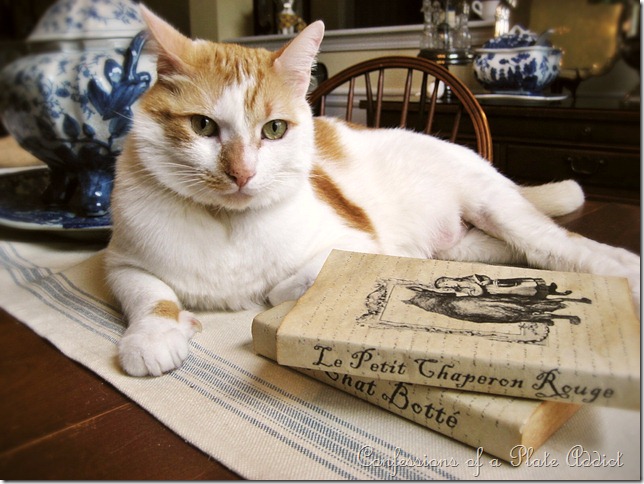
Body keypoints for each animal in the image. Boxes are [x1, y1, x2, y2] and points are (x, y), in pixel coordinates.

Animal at [105, 5, 640, 377]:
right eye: (202, 126)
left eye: (274, 130)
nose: (242, 173)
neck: (228, 224)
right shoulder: (118, 262)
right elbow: (148, 293)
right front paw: (155, 336)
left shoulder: (356, 244)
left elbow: (290, 283)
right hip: (466, 247)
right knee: (510, 256)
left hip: (498, 209)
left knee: (559, 244)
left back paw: (622, 270)